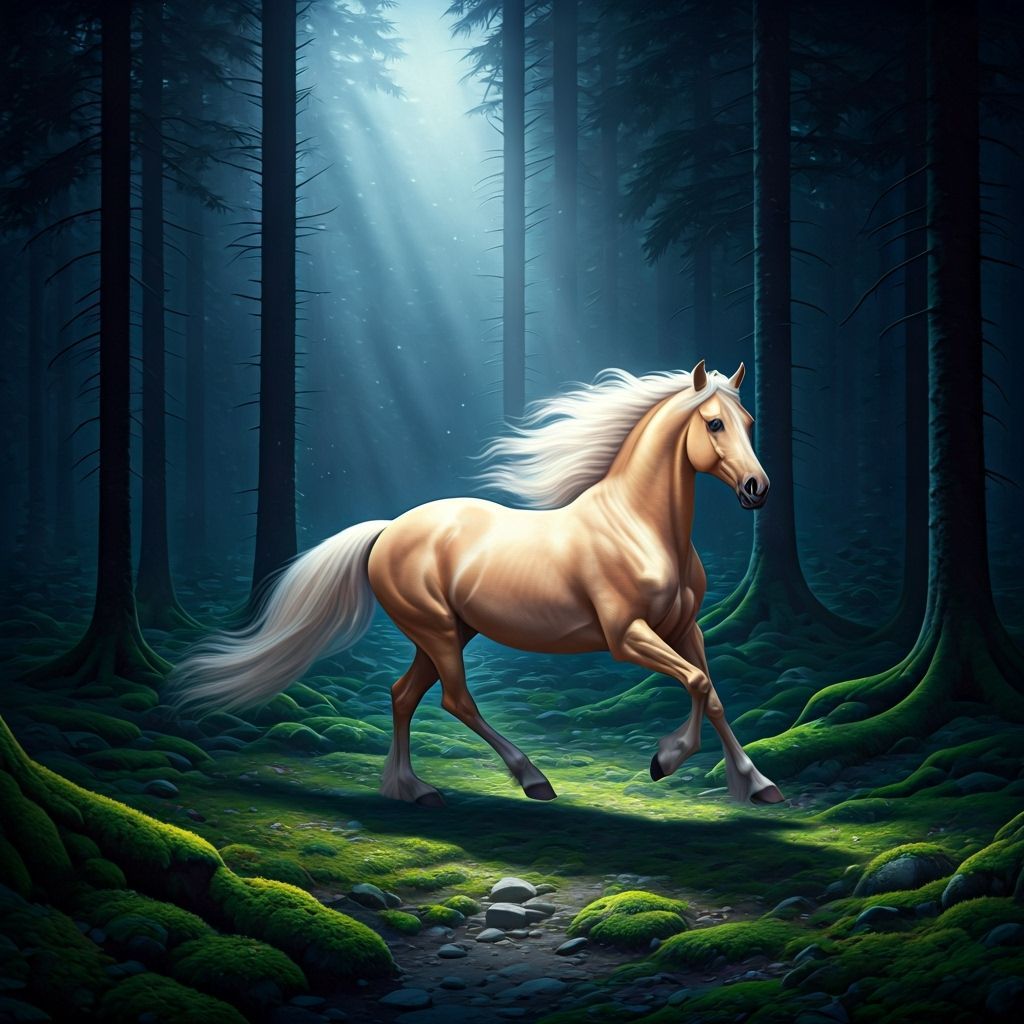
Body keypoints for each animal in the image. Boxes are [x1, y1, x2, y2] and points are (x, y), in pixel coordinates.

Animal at [172, 361, 784, 806]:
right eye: (713, 424)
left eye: (751, 422)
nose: (758, 489)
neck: (639, 528)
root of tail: (387, 529)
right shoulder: (626, 635)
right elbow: (698, 685)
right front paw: (665, 760)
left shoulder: (684, 629)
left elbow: (712, 693)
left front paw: (757, 784)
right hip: (438, 630)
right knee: (454, 699)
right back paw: (532, 779)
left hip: (447, 632)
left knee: (402, 695)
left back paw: (412, 790)